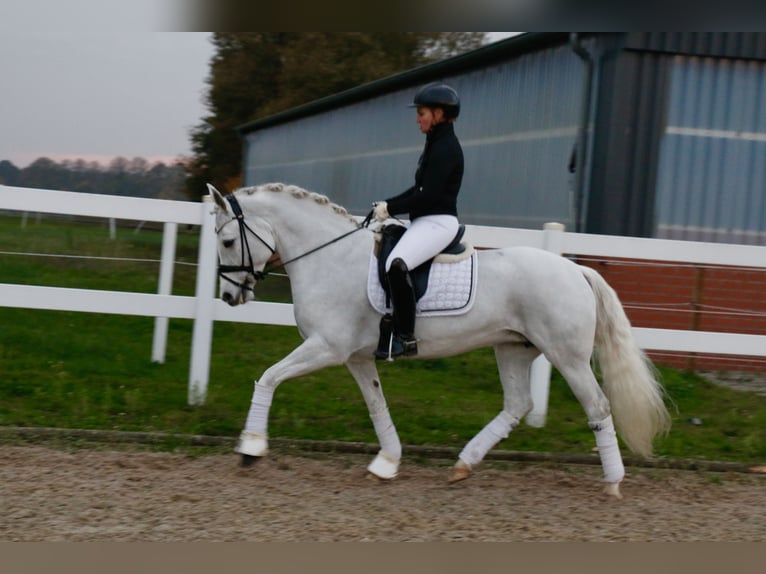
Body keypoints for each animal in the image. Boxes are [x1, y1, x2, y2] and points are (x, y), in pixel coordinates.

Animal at [210, 182, 672, 498]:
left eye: (228, 241)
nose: (230, 297)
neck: (330, 257)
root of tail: (576, 269)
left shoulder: (327, 347)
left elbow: (269, 377)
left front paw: (251, 448)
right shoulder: (357, 357)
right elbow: (377, 405)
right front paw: (387, 462)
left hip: (568, 357)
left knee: (597, 407)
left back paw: (613, 482)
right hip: (513, 348)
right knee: (518, 404)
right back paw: (464, 464)